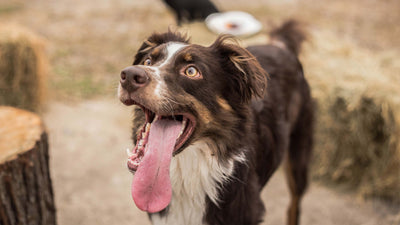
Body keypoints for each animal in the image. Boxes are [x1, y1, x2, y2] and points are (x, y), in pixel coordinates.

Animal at [117, 19, 314, 225]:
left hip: (299, 155)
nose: (128, 76)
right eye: (148, 61)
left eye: (191, 71)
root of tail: (280, 47)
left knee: (295, 203)